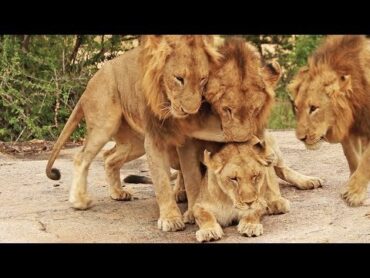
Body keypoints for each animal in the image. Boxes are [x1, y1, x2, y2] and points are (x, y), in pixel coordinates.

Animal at [46, 35, 225, 231]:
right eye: (179, 78)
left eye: (203, 79)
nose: (191, 111)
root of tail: (89, 85)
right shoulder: (154, 140)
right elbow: (162, 181)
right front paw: (170, 219)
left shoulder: (187, 141)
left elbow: (192, 177)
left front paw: (192, 213)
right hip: (104, 124)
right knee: (82, 157)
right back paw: (80, 201)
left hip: (134, 143)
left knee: (109, 157)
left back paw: (118, 192)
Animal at [290, 35, 370, 206]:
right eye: (296, 107)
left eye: (313, 108)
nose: (301, 138)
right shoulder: (346, 128)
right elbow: (352, 158)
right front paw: (351, 184)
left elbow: (366, 160)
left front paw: (354, 193)